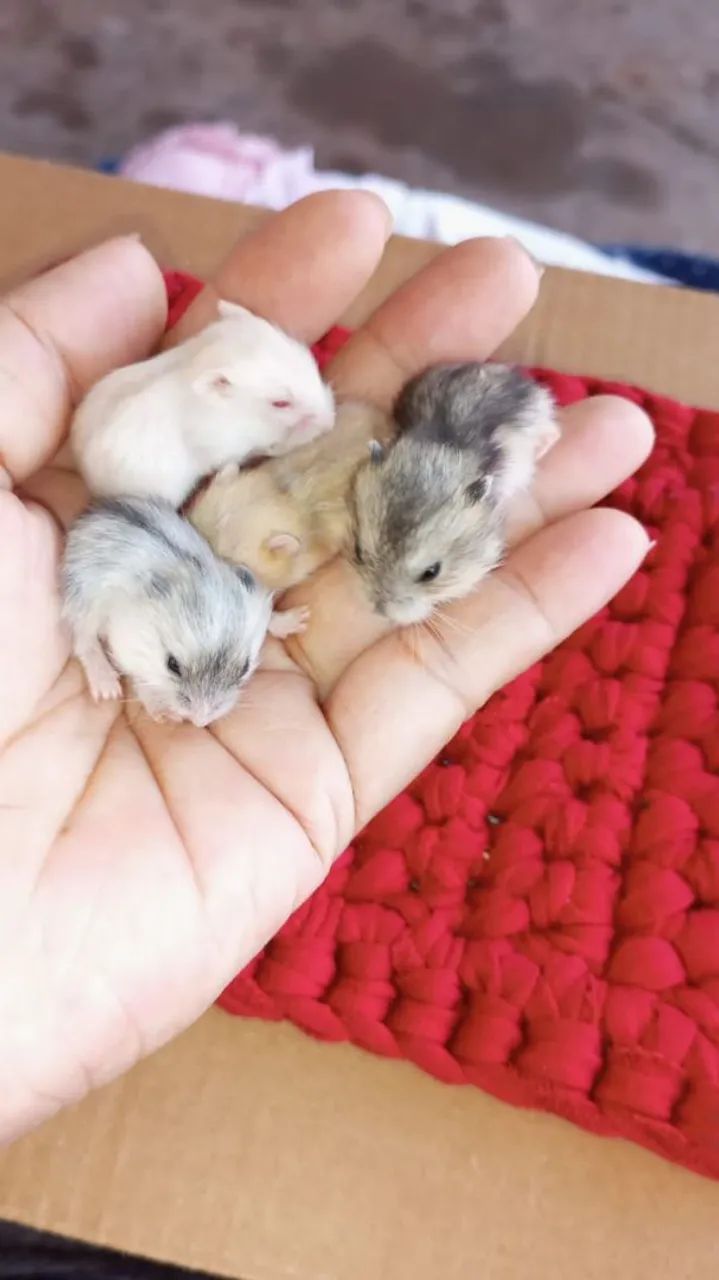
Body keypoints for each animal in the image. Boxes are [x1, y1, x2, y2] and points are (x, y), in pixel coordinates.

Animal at [61, 497, 308, 726]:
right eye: (173, 665)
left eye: (244, 668)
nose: (200, 722)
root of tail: (91, 516)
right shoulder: (126, 641)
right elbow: (142, 678)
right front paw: (163, 714)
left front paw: (302, 619)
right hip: (82, 601)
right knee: (84, 642)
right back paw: (107, 688)